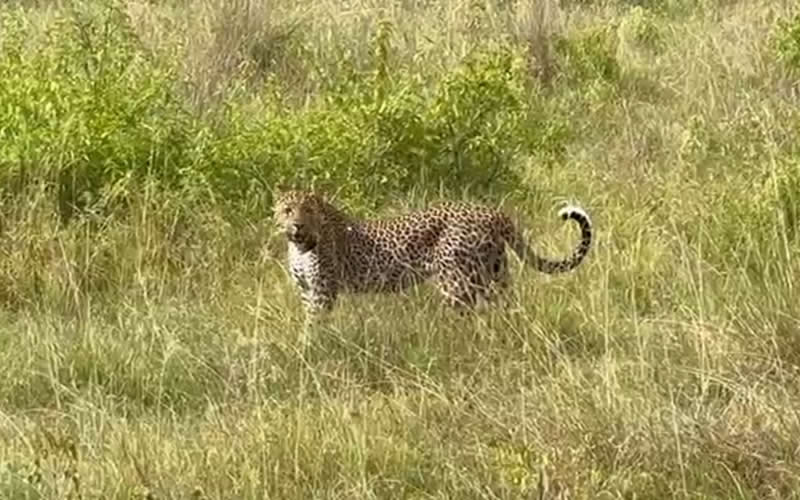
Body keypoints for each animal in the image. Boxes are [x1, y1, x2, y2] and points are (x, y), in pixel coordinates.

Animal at [273, 189, 592, 322]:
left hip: (457, 282)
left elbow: (313, 325)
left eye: (308, 210)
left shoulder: (322, 291)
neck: (299, 246)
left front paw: (310, 350)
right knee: (507, 306)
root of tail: (494, 213)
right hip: (494, 272)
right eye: (288, 210)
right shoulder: (307, 291)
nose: (297, 225)